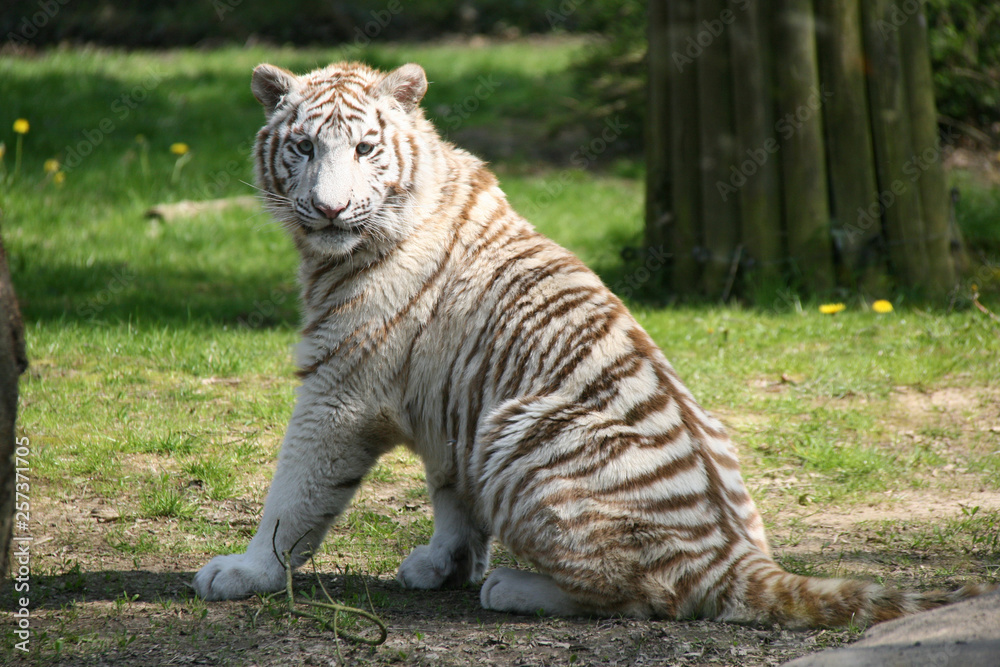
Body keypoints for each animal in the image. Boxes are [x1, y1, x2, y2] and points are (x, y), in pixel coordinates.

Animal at [192, 61, 993, 626]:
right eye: (302, 146)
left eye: (364, 148)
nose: (328, 208)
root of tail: (734, 558)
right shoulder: (453, 405)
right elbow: (452, 495)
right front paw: (442, 563)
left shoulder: (340, 392)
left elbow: (293, 496)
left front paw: (244, 572)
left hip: (518, 430)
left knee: (649, 594)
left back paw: (513, 587)